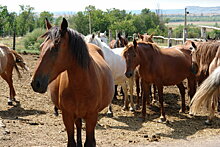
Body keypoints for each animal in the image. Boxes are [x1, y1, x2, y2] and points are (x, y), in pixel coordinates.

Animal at [31, 18, 114, 147]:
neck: (81, 85)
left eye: (55, 48)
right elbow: (72, 141)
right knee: (78, 126)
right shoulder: (67, 115)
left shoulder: (92, 116)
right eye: (41, 47)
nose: (36, 83)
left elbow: (89, 141)